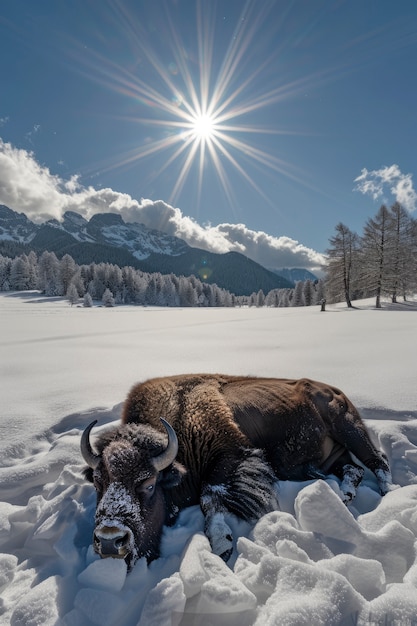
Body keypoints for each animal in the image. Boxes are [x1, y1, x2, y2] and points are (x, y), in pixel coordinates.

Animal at [80, 372, 390, 568]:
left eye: (149, 484)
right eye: (97, 482)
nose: (110, 541)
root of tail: (333, 390)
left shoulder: (231, 455)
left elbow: (210, 496)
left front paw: (222, 545)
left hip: (349, 428)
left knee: (379, 462)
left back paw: (387, 495)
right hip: (332, 454)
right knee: (353, 469)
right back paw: (344, 494)